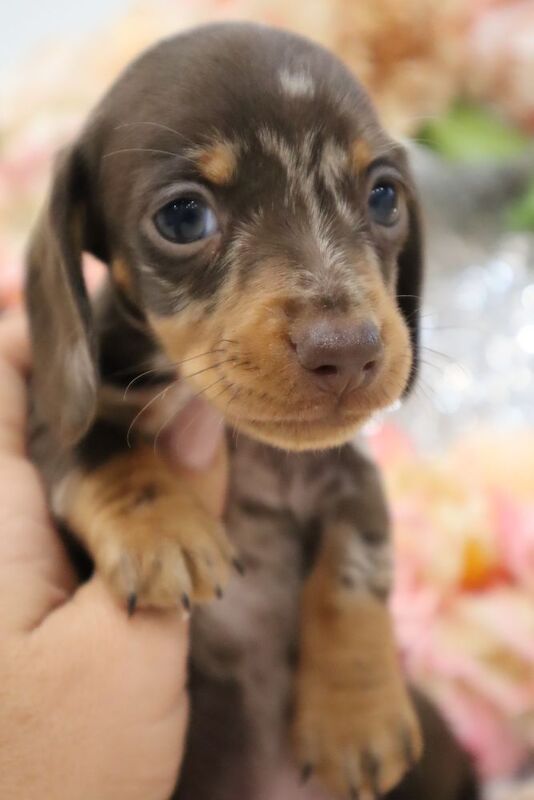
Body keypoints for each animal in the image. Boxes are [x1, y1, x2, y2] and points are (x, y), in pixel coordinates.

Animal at [26, 21, 436, 800]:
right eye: (184, 216)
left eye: (384, 198)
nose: (348, 351)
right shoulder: (53, 420)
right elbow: (103, 449)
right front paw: (164, 530)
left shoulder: (350, 473)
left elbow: (355, 566)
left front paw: (356, 716)